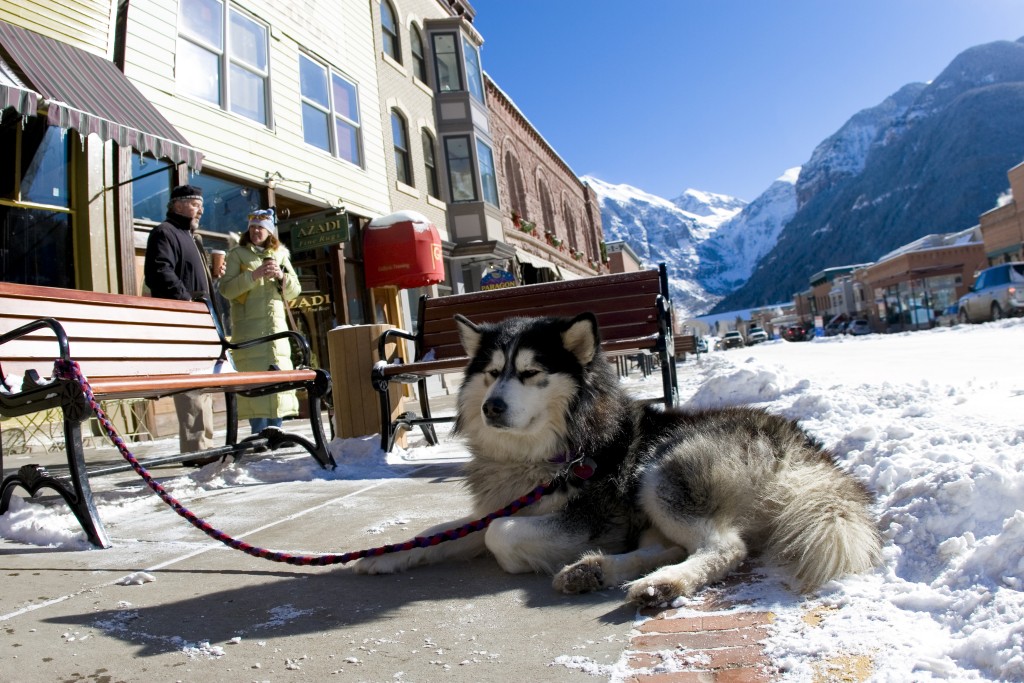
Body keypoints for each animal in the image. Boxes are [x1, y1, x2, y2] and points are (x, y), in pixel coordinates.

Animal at [352, 313, 880, 606]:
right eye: (491, 372)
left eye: (531, 373)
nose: (492, 407)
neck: (552, 450)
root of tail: (798, 440)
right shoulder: (506, 502)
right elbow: (444, 531)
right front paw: (385, 555)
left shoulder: (593, 516)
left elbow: (495, 533)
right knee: (670, 545)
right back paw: (594, 571)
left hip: (659, 470)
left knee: (724, 547)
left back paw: (662, 585)